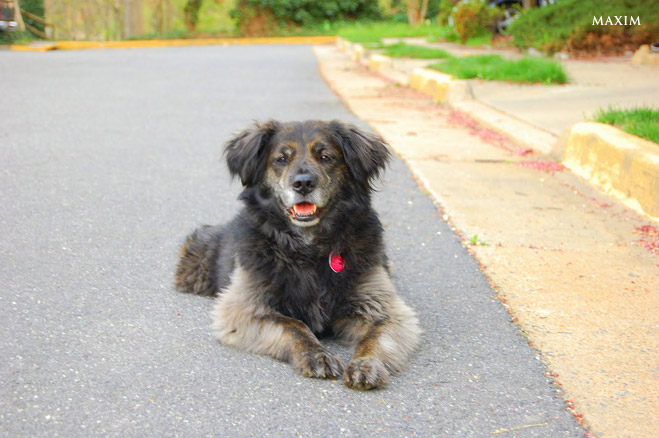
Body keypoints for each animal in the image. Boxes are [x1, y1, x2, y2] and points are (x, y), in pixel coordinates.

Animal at [175, 120, 420, 390]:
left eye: (326, 157)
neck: (309, 249)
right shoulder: (243, 308)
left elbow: (375, 337)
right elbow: (293, 325)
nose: (303, 184)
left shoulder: (385, 308)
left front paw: (366, 363)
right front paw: (316, 354)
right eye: (281, 159)